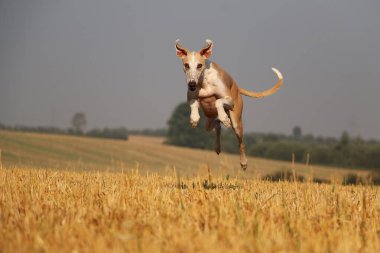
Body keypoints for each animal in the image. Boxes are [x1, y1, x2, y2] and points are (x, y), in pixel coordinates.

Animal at [175, 39, 282, 170]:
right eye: (186, 65)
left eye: (199, 65)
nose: (191, 84)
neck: (203, 80)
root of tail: (237, 87)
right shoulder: (191, 98)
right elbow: (194, 104)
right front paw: (194, 118)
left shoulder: (229, 100)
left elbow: (218, 101)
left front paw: (224, 118)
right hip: (209, 121)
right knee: (217, 125)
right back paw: (218, 144)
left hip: (236, 122)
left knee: (241, 143)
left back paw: (243, 162)